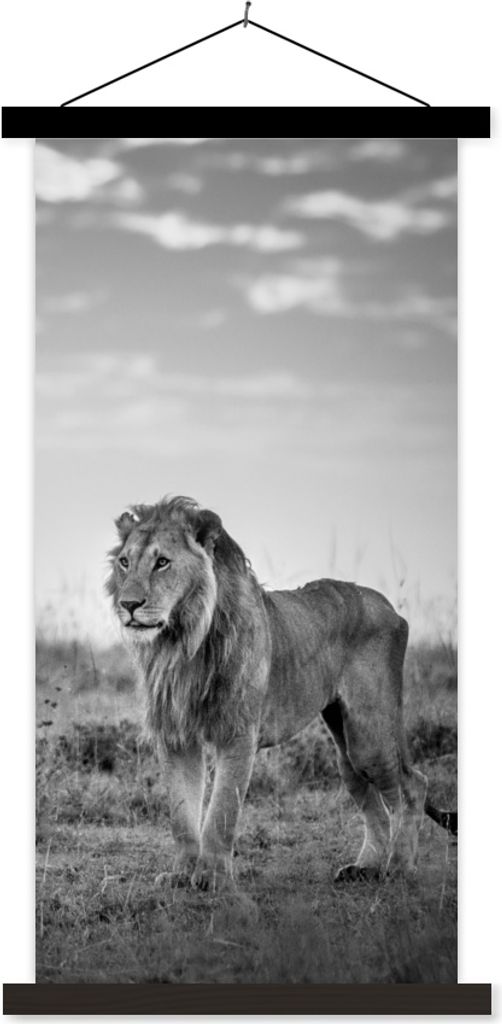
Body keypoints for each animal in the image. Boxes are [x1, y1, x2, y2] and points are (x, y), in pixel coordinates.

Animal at [106, 495, 456, 892]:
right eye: (124, 562)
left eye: (162, 562)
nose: (128, 605)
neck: (183, 642)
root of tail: (388, 606)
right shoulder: (176, 736)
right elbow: (182, 815)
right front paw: (182, 875)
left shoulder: (238, 734)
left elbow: (222, 812)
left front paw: (212, 877)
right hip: (345, 745)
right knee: (374, 802)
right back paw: (364, 867)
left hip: (370, 736)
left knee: (413, 785)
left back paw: (399, 867)